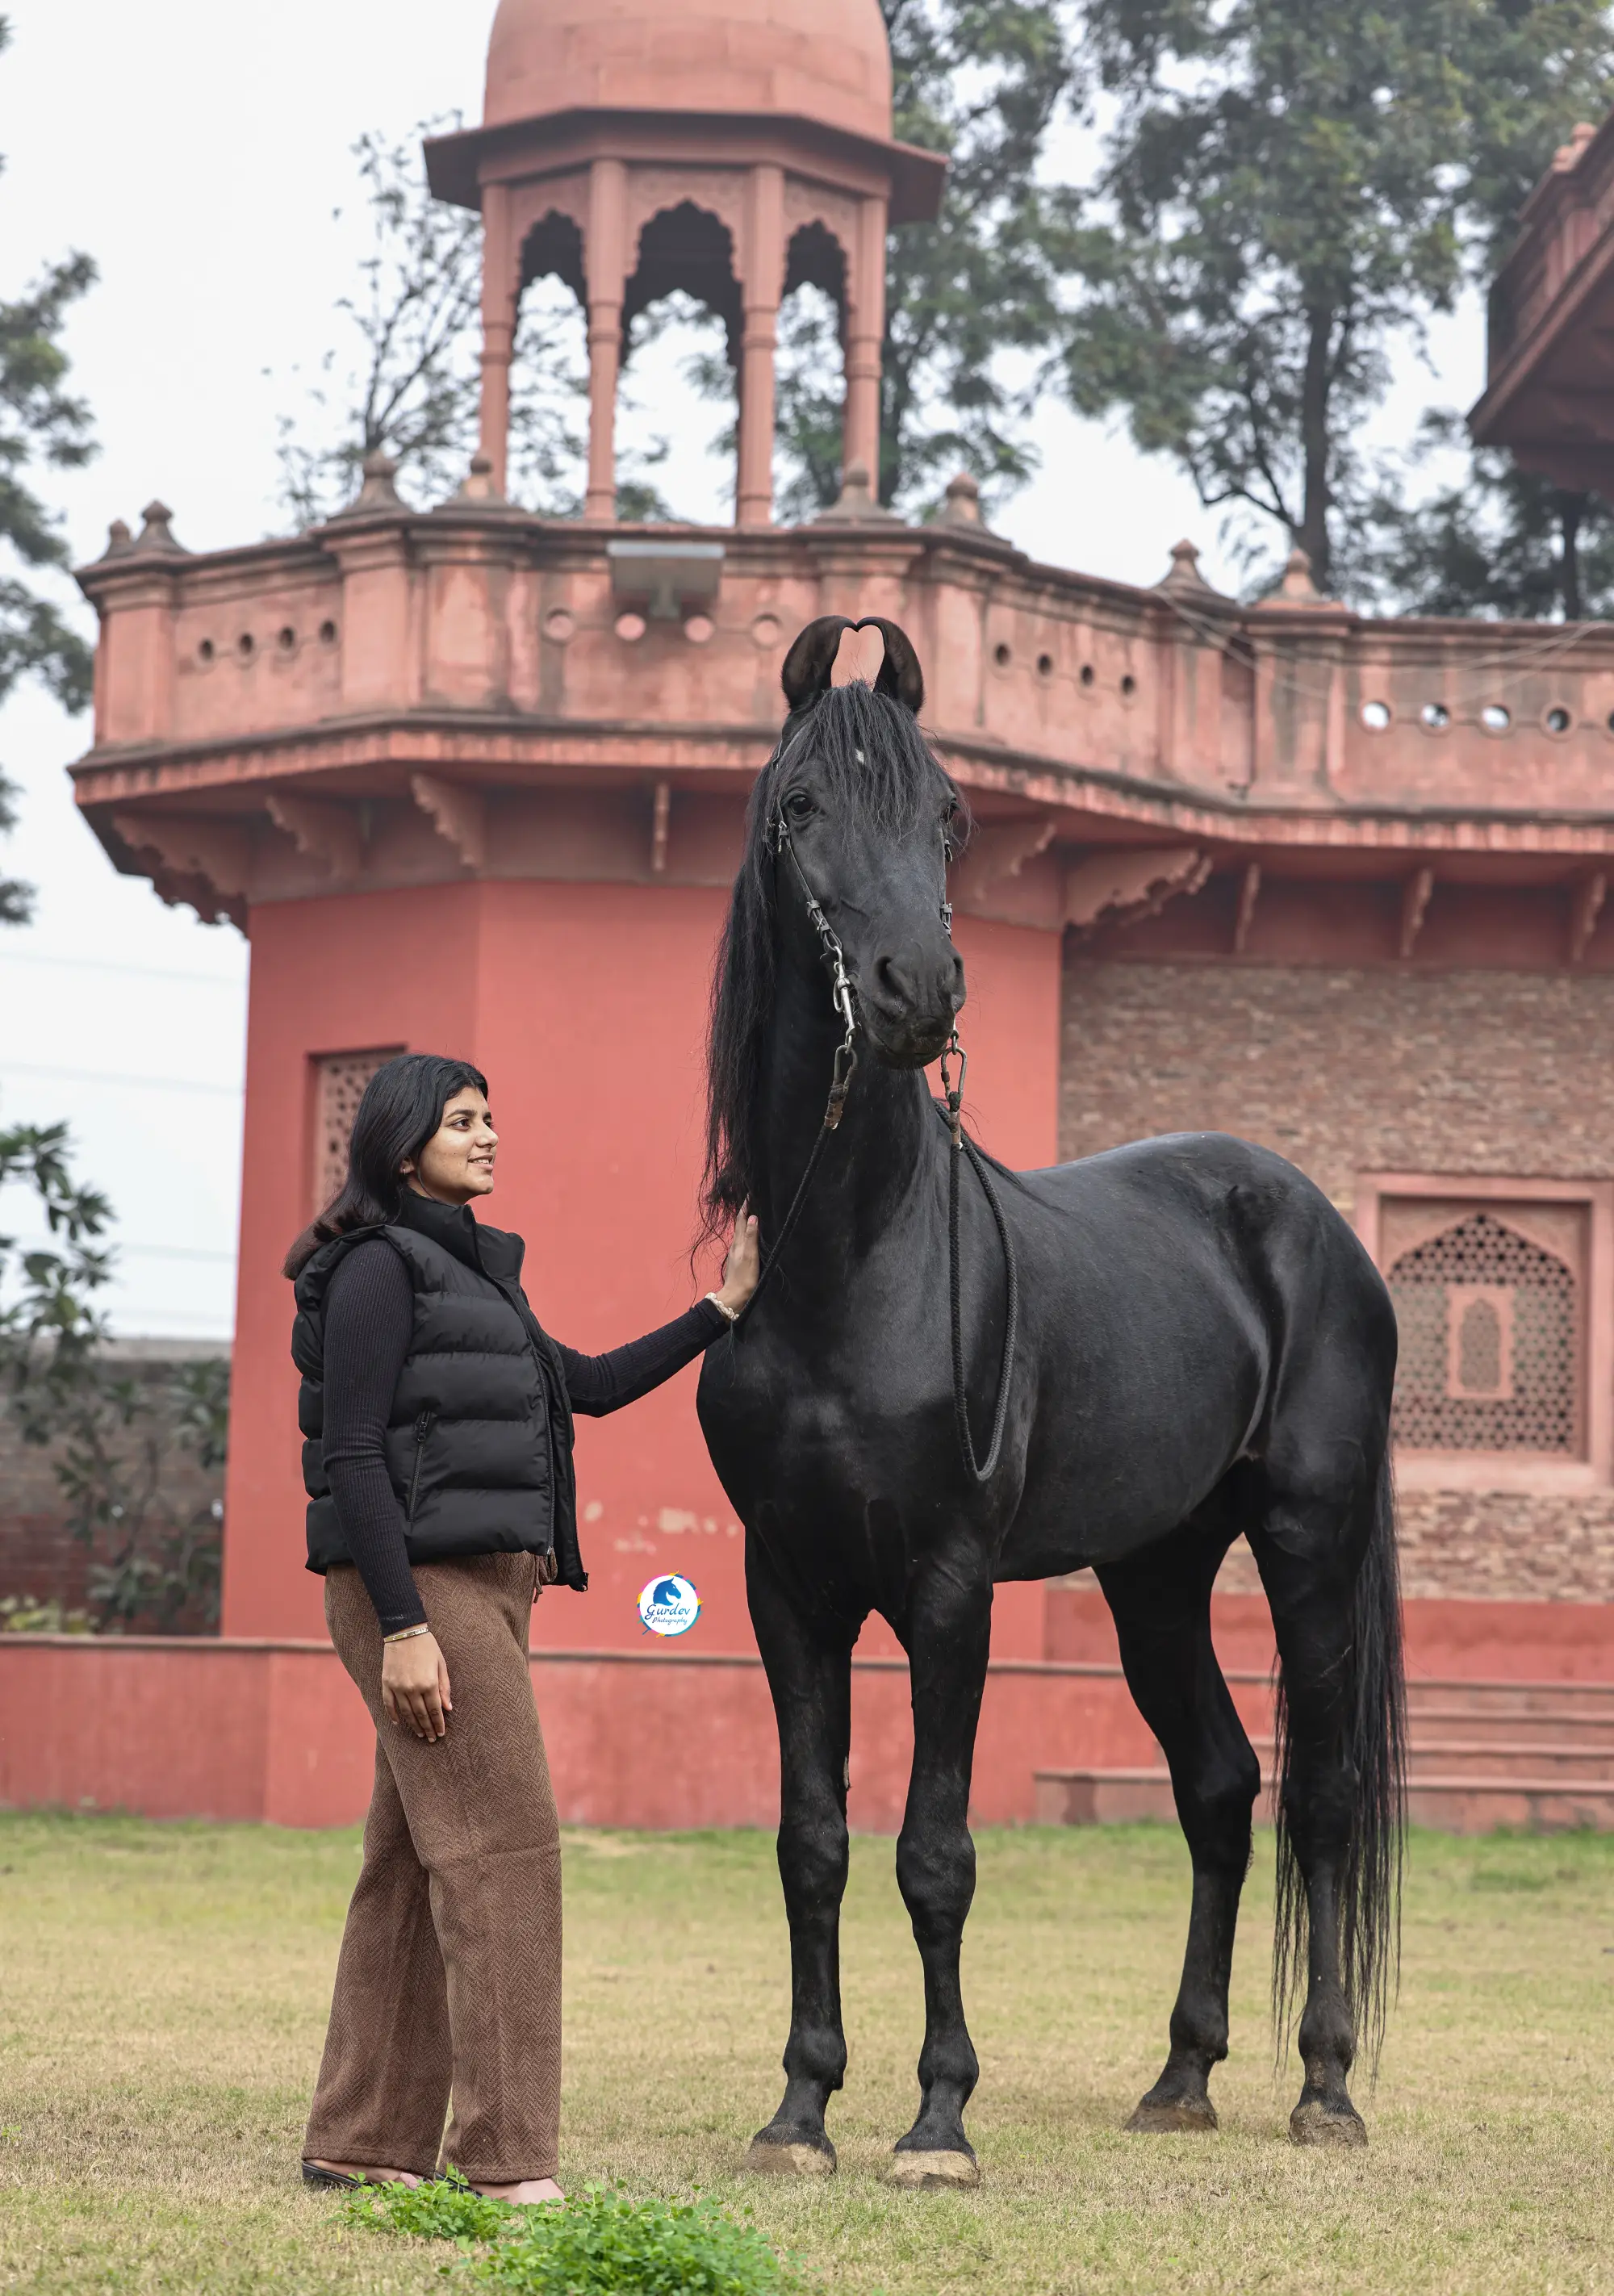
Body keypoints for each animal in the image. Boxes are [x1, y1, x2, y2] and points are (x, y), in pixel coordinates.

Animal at [695, 614, 1404, 2191]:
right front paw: (799, 2111)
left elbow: (937, 1853)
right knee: (1219, 1786)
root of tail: (1311, 1217)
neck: (853, 1269)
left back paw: (1327, 2088)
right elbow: (812, 1842)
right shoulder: (790, 1589)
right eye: (797, 810)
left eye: (951, 815)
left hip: (1309, 1542)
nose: (915, 991)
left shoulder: (953, 1588)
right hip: (1156, 1575)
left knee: (1322, 1799)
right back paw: (1181, 2077)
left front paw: (938, 2122)